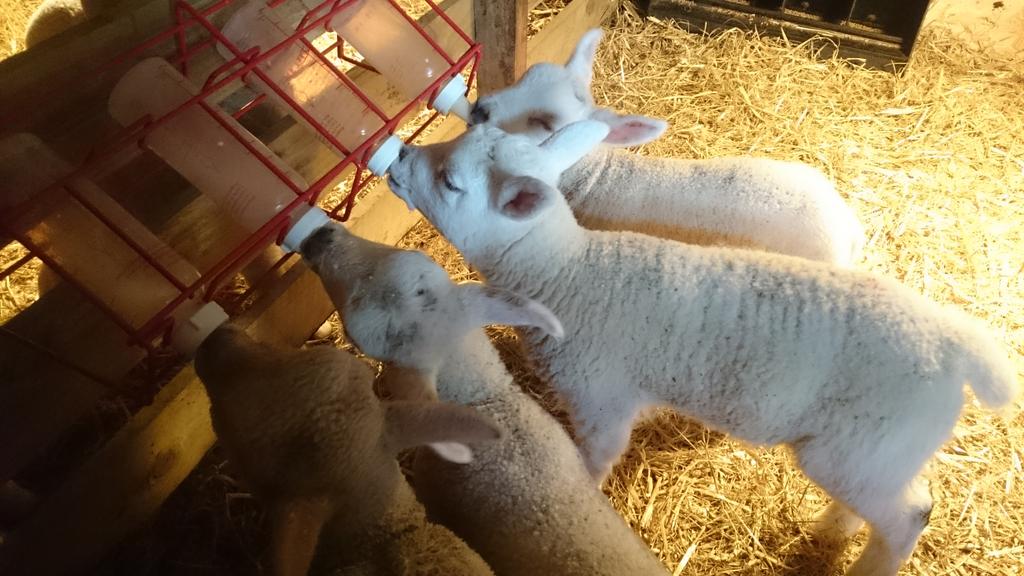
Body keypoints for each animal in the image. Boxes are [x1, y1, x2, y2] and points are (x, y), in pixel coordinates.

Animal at [384, 120, 1020, 576]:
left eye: (452, 182)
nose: (399, 160)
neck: (567, 274)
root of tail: (954, 342)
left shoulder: (601, 400)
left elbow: (593, 461)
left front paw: (582, 499)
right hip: (884, 451)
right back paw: (831, 530)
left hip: (861, 446)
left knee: (910, 514)